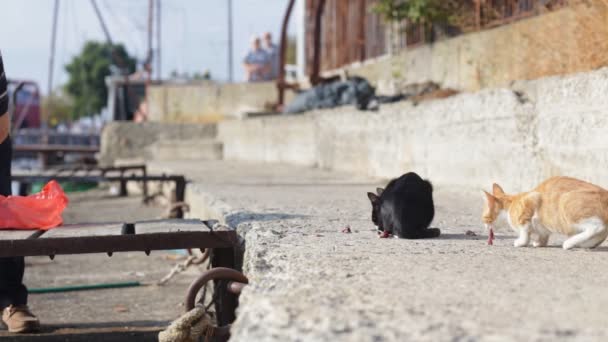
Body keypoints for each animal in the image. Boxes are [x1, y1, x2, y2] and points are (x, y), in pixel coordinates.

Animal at [480, 178, 608, 250]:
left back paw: (568, 243)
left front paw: (521, 242)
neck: (511, 204)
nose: (485, 226)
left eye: (485, 218)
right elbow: (542, 235)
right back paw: (579, 243)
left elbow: (524, 229)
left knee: (596, 227)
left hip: (566, 203)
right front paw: (539, 242)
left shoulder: (532, 199)